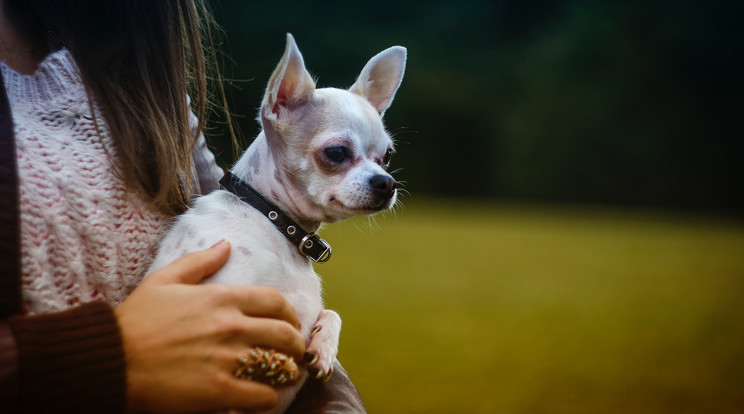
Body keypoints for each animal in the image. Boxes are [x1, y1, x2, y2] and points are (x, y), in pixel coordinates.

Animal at [146, 34, 406, 412]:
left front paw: (323, 348)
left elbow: (331, 313)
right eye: (337, 153)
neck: (274, 222)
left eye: (387, 156)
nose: (387, 183)